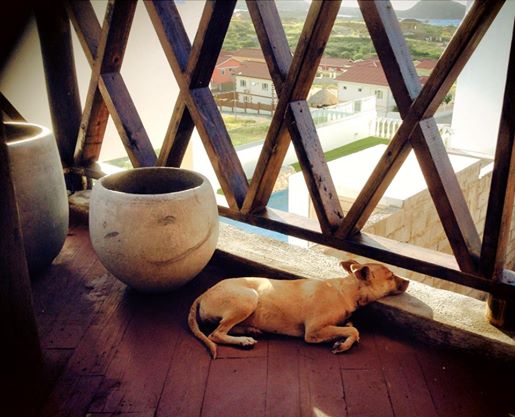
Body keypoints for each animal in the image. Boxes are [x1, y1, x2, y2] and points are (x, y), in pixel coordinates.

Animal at [188, 259, 409, 358]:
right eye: (391, 276)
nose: (407, 281)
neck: (344, 290)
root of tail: (204, 294)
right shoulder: (313, 331)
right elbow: (354, 330)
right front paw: (344, 344)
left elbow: (350, 326)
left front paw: (344, 337)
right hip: (248, 299)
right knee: (216, 333)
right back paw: (243, 340)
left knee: (227, 328)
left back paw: (249, 331)